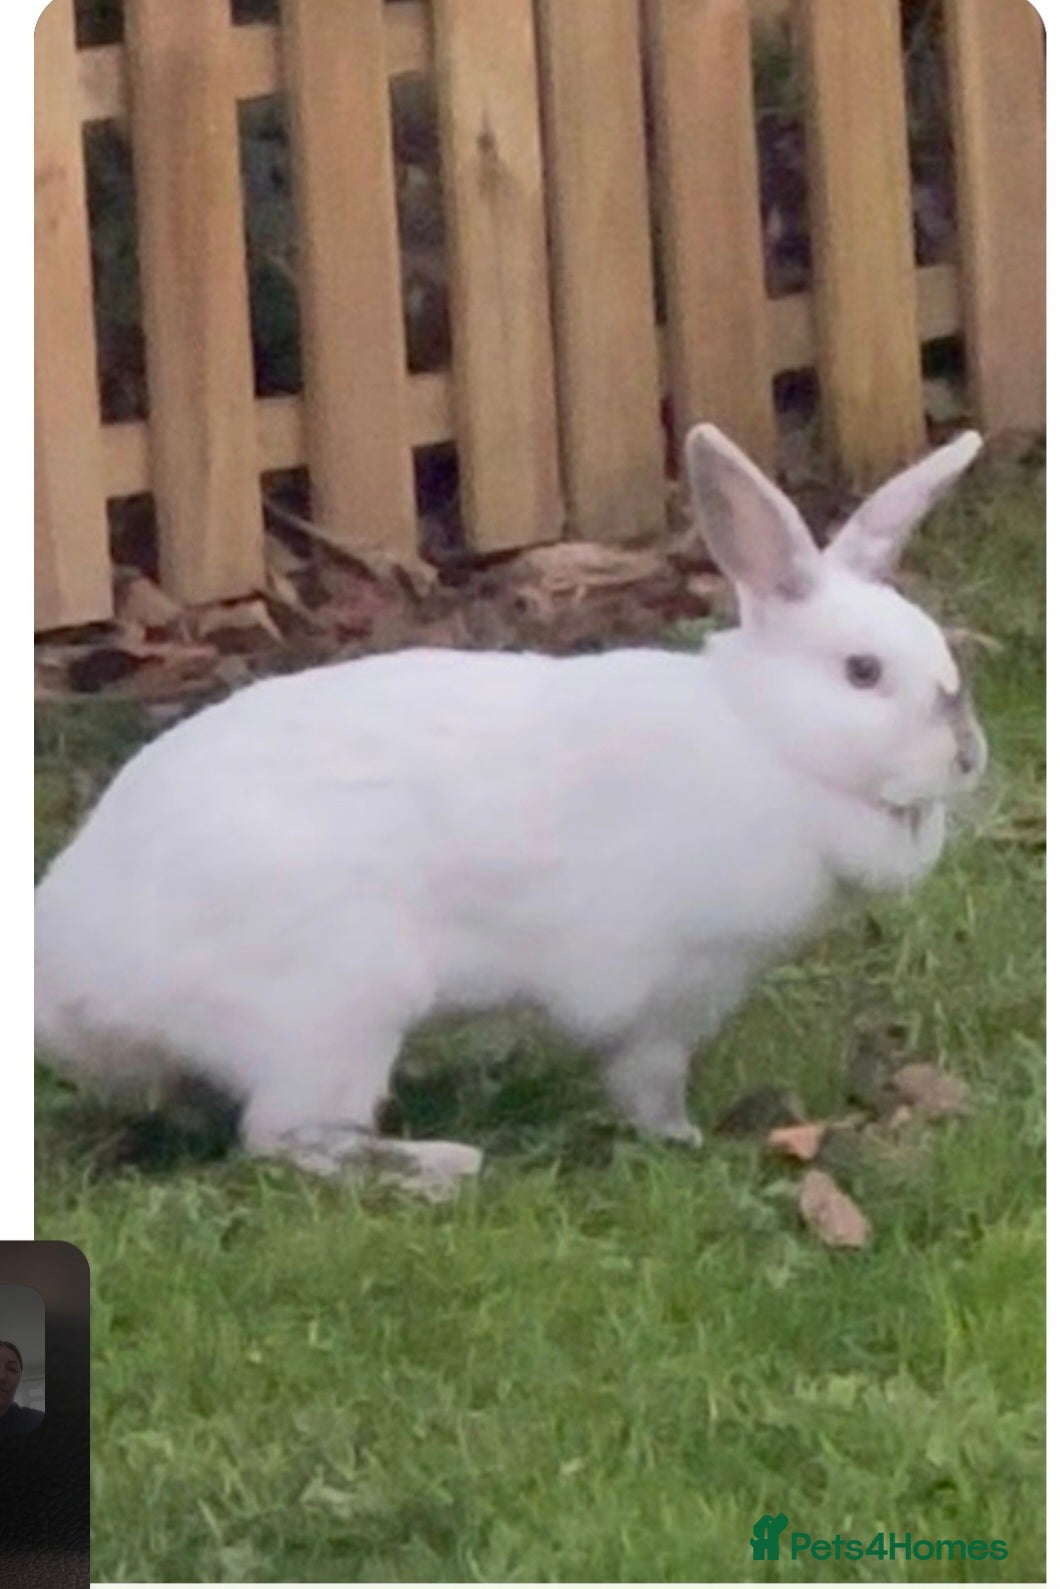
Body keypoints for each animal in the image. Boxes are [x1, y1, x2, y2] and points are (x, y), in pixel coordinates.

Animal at [35, 424, 987, 1196]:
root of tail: (68, 975)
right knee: (283, 1137)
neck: (769, 739)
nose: (969, 755)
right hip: (335, 1010)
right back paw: (438, 1166)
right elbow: (646, 1079)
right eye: (862, 672)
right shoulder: (659, 993)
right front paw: (680, 1136)